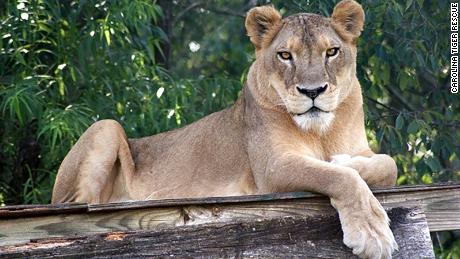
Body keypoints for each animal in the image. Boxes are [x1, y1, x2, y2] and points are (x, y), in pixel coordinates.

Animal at [52, 1, 398, 258]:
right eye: (285, 55)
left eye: (332, 52)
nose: (312, 91)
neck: (321, 132)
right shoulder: (272, 168)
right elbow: (336, 177)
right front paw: (372, 233)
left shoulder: (360, 148)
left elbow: (387, 164)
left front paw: (348, 162)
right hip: (105, 128)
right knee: (75, 208)